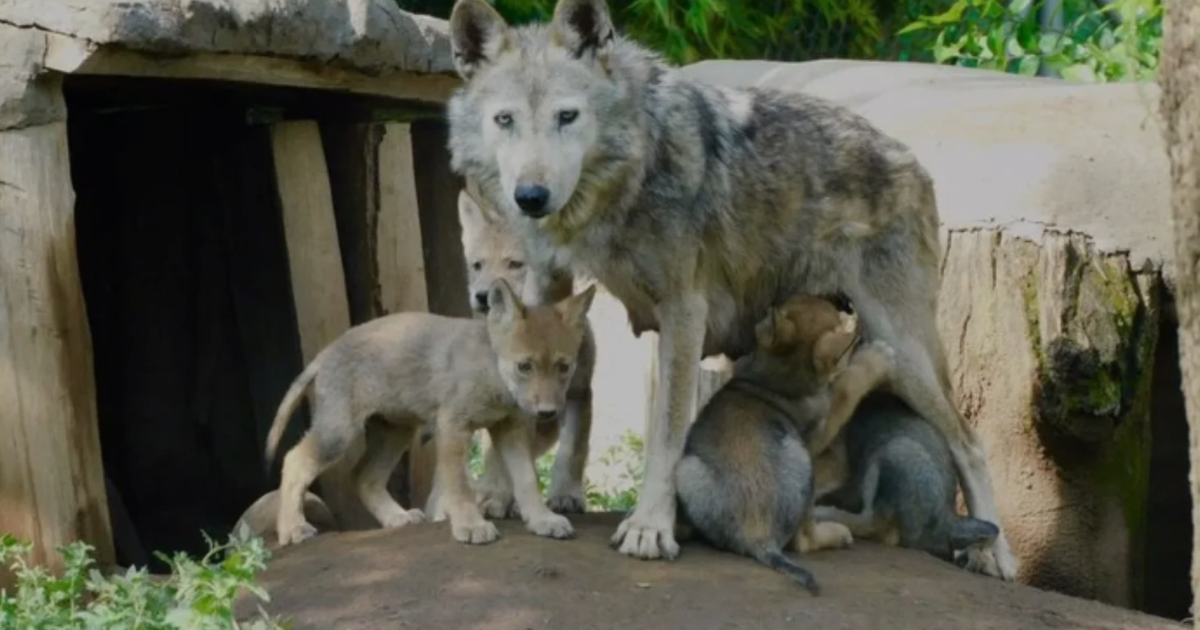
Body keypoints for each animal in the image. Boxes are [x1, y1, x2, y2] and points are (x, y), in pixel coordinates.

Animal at [265, 278, 597, 546]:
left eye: (564, 367)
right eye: (524, 366)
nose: (547, 413)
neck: (492, 371)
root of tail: (327, 351)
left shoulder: (509, 429)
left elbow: (527, 479)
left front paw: (542, 519)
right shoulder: (452, 426)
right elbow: (459, 485)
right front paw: (471, 525)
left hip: (394, 433)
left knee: (363, 476)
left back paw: (395, 518)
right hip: (339, 433)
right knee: (294, 461)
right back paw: (292, 529)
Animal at [675, 296, 891, 593]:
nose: (846, 306)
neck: (777, 378)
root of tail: (758, 535)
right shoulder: (821, 429)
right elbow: (847, 387)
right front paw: (877, 358)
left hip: (687, 470)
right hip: (804, 464)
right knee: (804, 540)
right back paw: (837, 533)